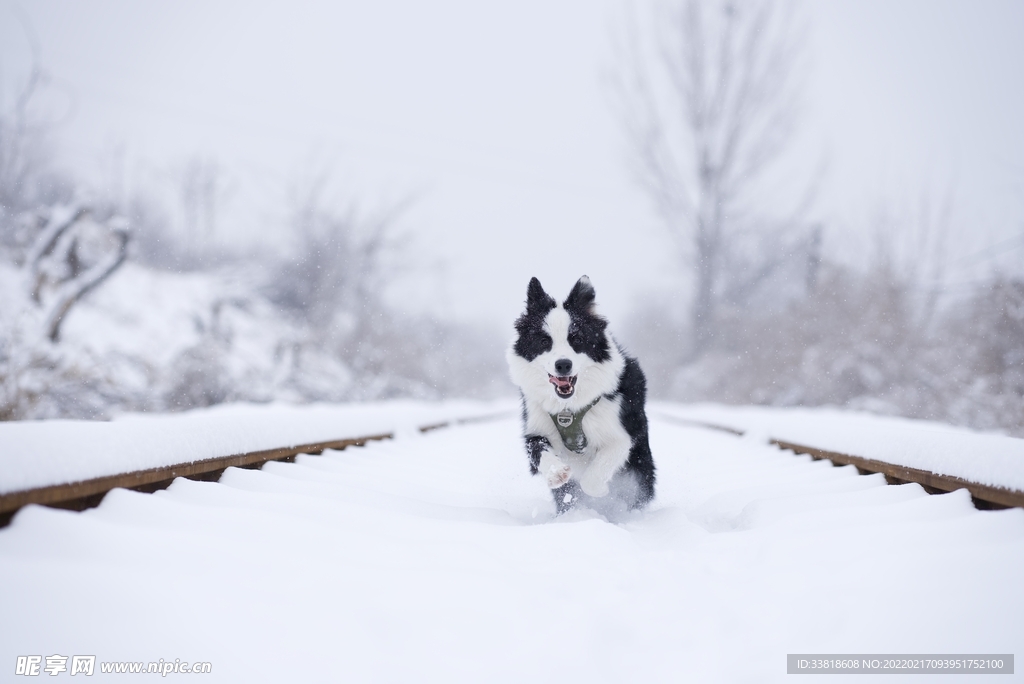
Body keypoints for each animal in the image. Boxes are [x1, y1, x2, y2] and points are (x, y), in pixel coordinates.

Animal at [503, 276, 655, 511]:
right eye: (545, 341)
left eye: (577, 340)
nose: (563, 365)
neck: (568, 407)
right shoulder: (536, 426)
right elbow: (538, 450)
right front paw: (556, 473)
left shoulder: (621, 435)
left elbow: (593, 477)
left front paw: (600, 491)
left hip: (642, 466)